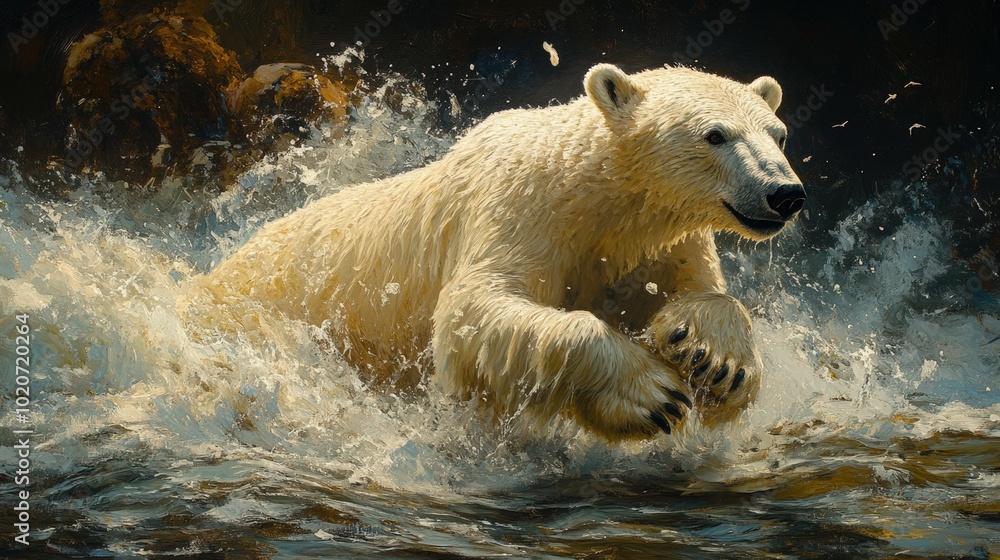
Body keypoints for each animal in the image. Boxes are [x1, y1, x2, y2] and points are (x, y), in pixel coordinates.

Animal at [202, 63, 805, 442]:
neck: (595, 196)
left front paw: (714, 361)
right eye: (715, 135)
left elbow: (700, 290)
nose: (785, 193)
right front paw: (652, 394)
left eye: (778, 134)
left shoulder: (659, 243)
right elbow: (474, 311)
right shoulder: (518, 208)